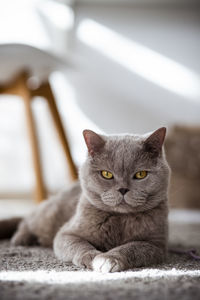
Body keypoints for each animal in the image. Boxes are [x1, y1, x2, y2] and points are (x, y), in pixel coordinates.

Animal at [0, 127, 170, 274]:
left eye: (141, 174)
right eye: (106, 174)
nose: (123, 189)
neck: (119, 220)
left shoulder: (155, 245)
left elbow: (131, 247)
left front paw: (108, 258)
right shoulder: (67, 233)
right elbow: (79, 244)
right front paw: (92, 257)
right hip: (48, 216)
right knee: (28, 219)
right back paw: (21, 238)